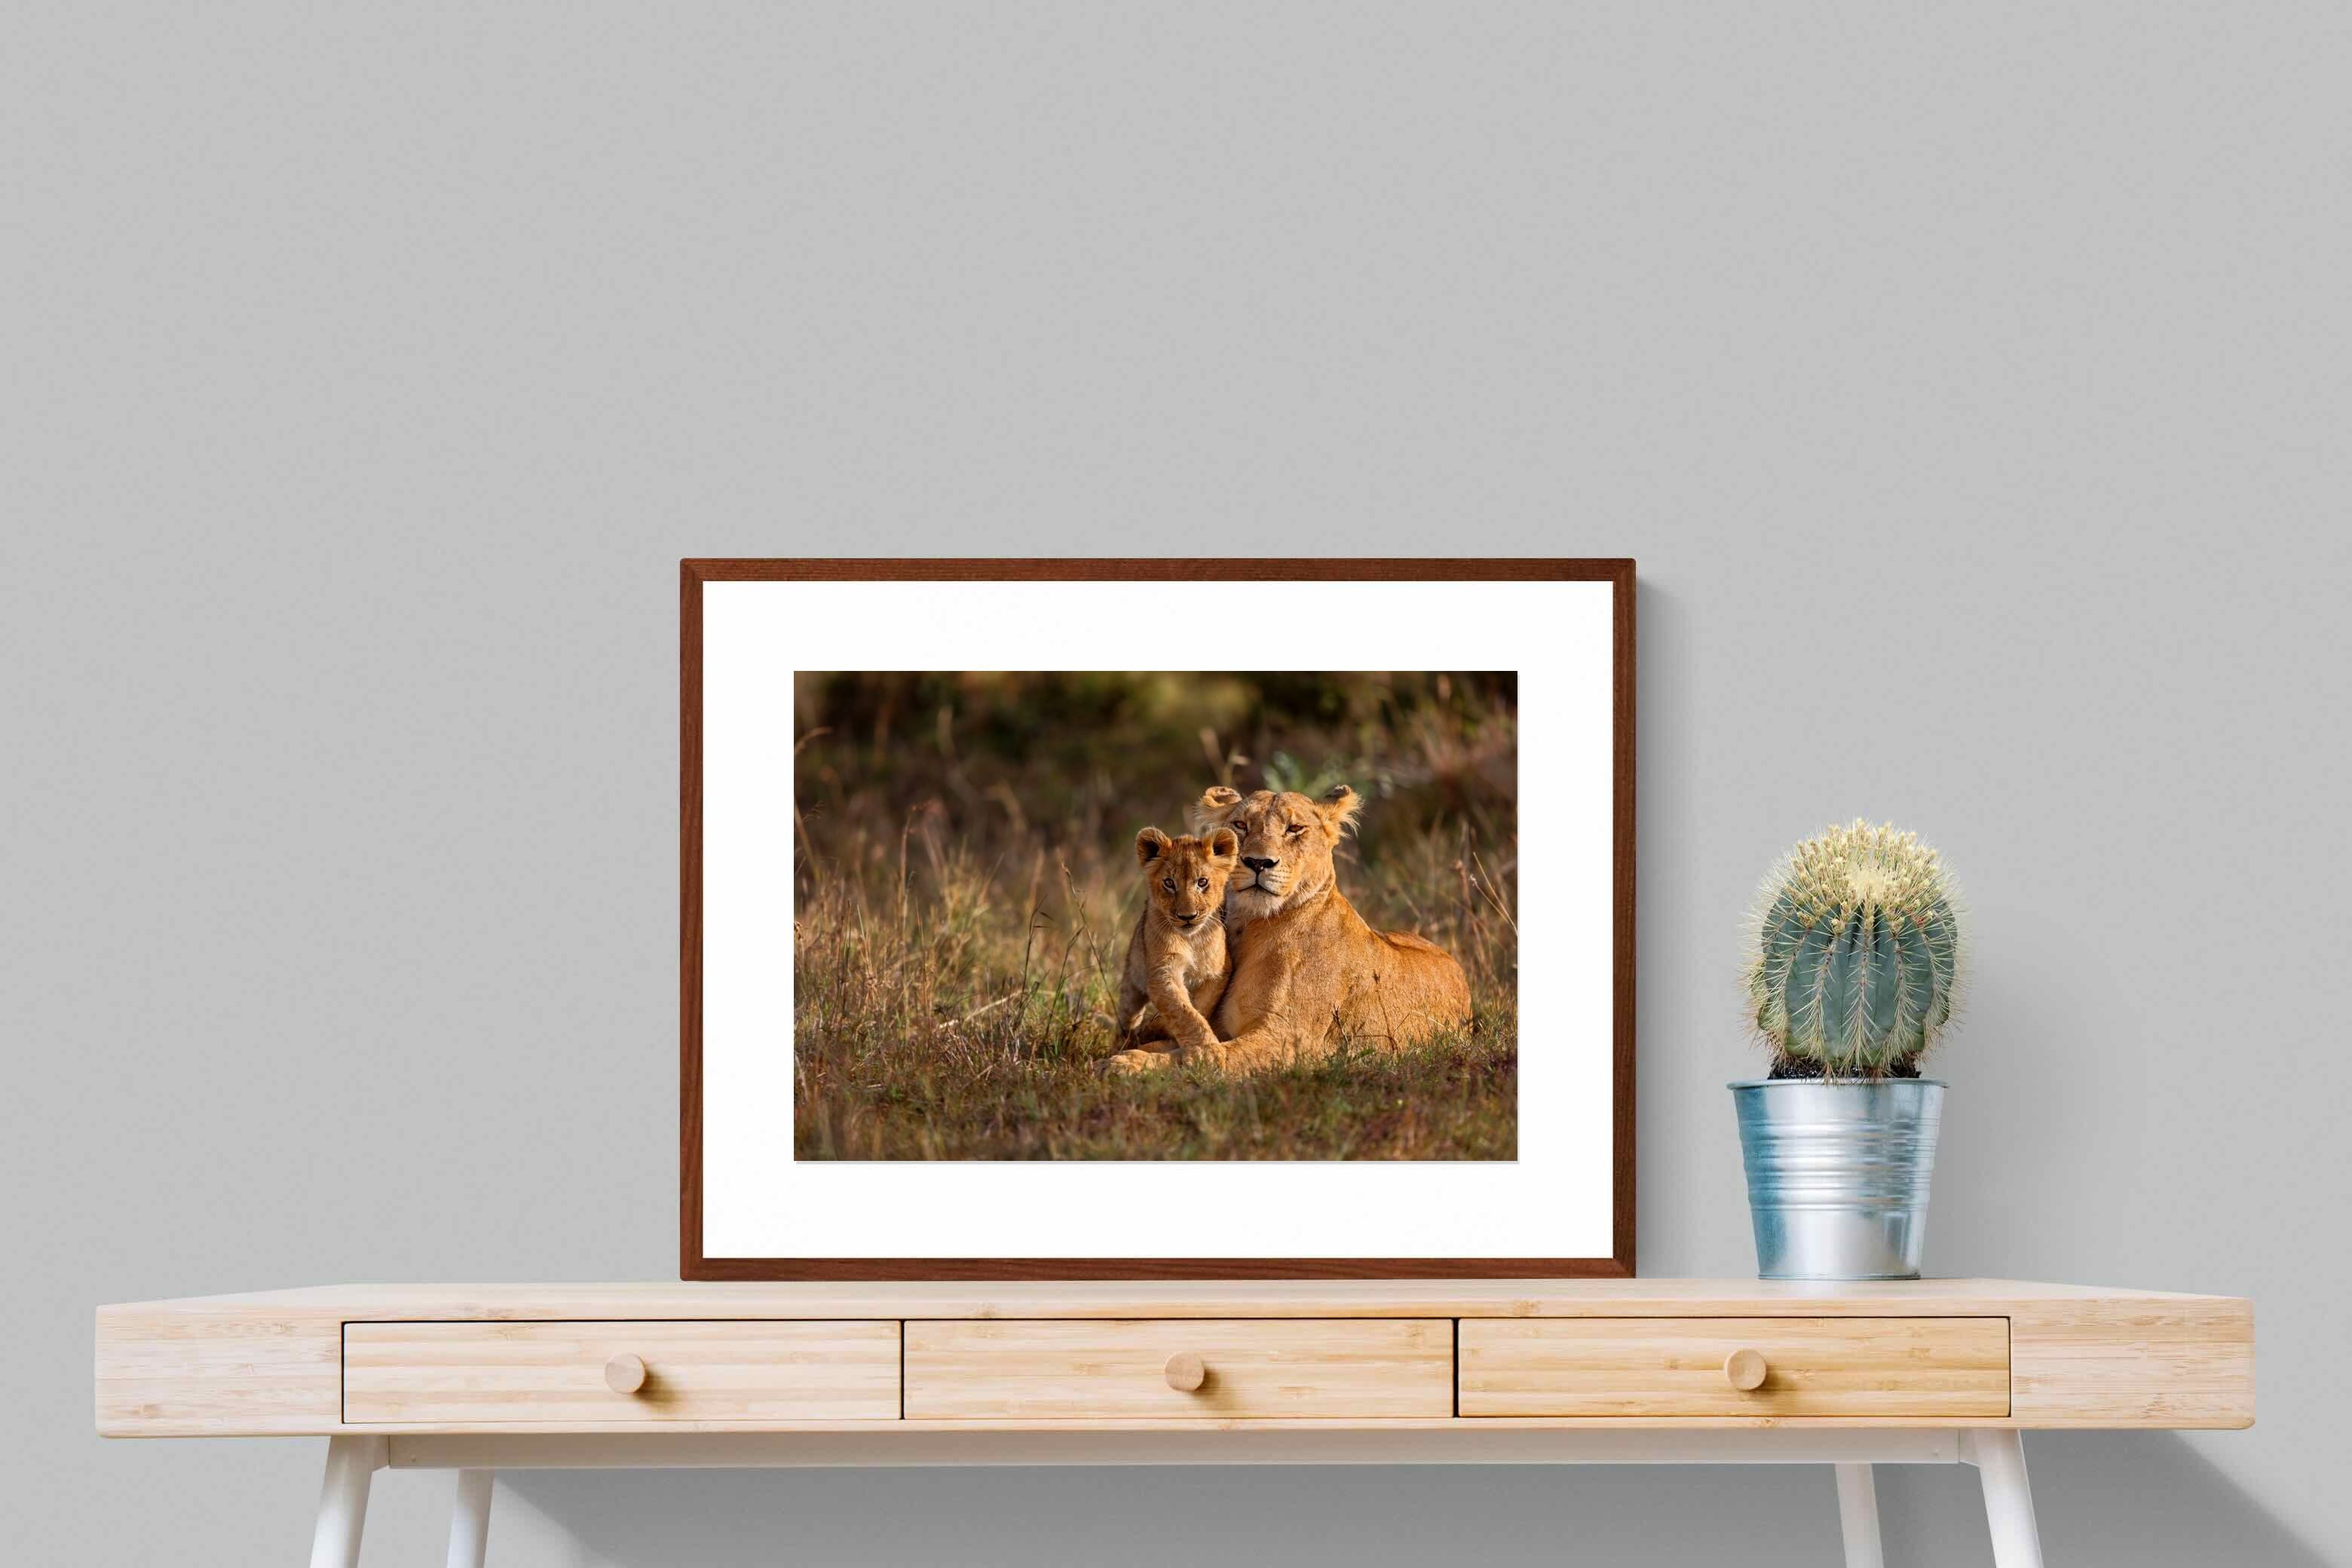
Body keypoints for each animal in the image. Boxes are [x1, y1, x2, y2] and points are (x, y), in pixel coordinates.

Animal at [1111, 826, 1241, 1054]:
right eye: (1169, 883)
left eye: (1202, 882)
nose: (1187, 916)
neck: (1192, 940)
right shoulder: (1162, 973)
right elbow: (1184, 1013)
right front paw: (1207, 1050)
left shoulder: (1218, 972)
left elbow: (1199, 1008)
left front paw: (1162, 1029)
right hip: (1131, 984)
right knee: (1127, 1018)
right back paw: (1124, 1042)